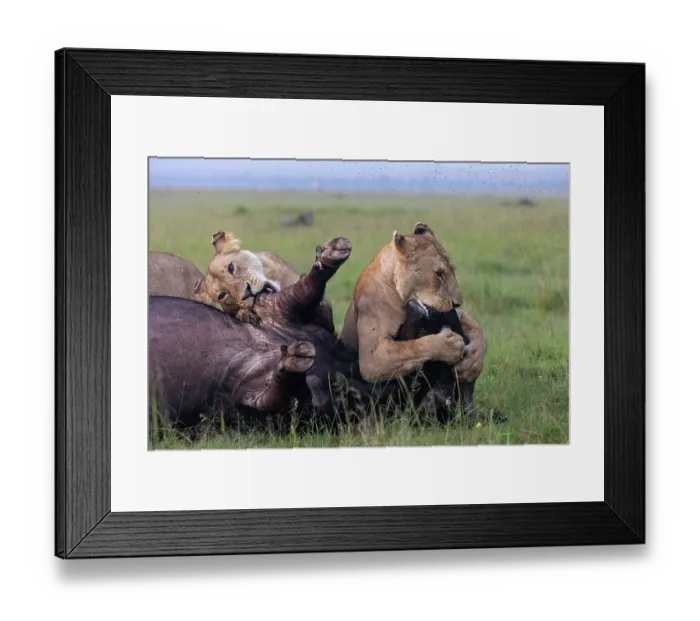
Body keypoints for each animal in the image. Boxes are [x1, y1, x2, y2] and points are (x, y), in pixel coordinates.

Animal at [339, 221, 487, 400]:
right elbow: (412, 348)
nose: (458, 303)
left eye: (453, 270)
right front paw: (449, 344)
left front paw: (474, 360)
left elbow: (473, 325)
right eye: (438, 274)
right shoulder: (372, 360)